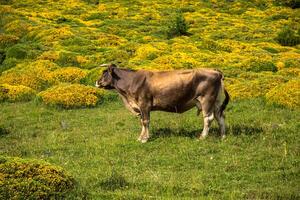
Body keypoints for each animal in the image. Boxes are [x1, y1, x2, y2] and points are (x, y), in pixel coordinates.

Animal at [96, 63, 230, 143]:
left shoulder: (144, 104)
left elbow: (145, 121)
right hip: (216, 101)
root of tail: (214, 70)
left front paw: (145, 139)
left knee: (208, 118)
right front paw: (140, 137)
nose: (96, 82)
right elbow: (142, 122)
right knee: (220, 116)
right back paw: (222, 136)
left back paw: (202, 137)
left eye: (104, 73)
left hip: (207, 99)